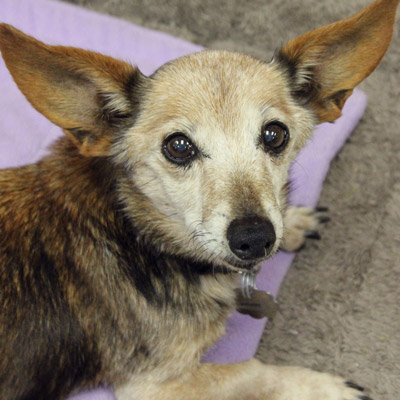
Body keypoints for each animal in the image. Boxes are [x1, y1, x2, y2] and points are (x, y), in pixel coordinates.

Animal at [0, 0, 398, 400]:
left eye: (275, 135)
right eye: (178, 146)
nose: (255, 237)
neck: (135, 227)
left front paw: (295, 220)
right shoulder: (154, 385)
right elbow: (252, 370)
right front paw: (320, 385)